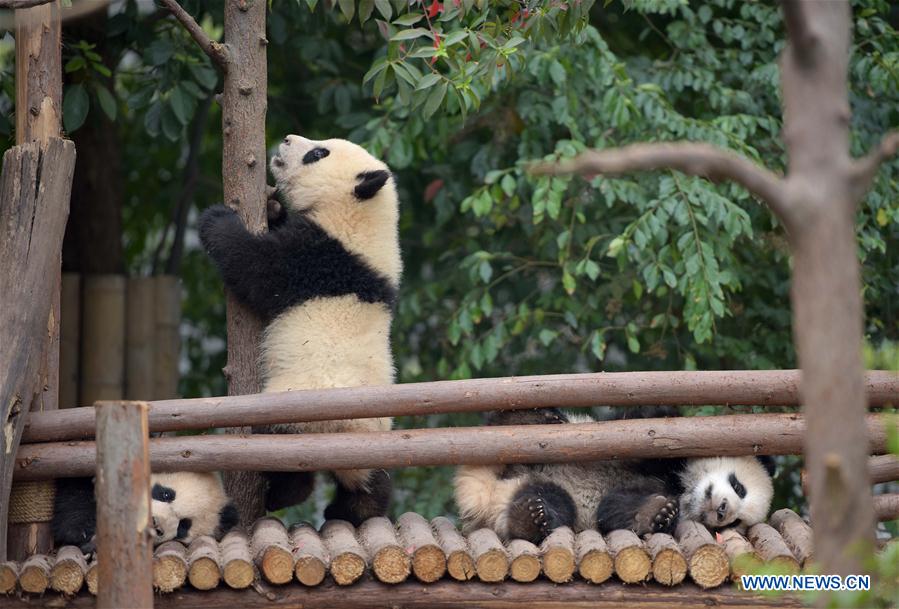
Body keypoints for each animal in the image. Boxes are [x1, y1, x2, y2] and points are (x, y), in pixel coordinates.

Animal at [198, 135, 401, 525]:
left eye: (318, 153)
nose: (288, 139)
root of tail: (343, 436)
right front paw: (274, 208)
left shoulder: (318, 258)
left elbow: (257, 268)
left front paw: (216, 217)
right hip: (375, 437)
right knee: (373, 481)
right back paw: (353, 510)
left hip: (294, 406)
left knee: (280, 451)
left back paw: (283, 493)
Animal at [454, 407, 775, 543]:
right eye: (739, 486)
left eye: (735, 522)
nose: (722, 511)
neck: (683, 488)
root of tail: (484, 495)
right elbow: (645, 425)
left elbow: (613, 509)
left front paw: (658, 515)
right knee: (513, 422)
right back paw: (540, 417)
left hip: (533, 493)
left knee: (554, 502)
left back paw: (527, 519)